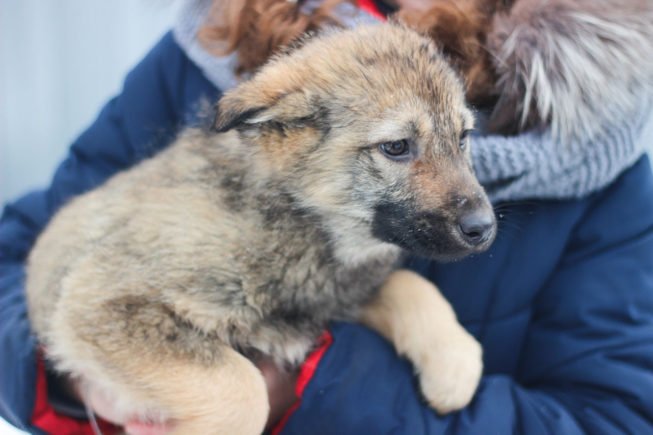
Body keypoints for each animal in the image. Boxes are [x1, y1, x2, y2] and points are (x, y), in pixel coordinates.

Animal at [25, 24, 494, 435]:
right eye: (396, 147)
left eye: (463, 138)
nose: (484, 228)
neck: (286, 219)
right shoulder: (101, 302)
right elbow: (241, 390)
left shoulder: (329, 298)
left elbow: (410, 285)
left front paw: (454, 362)